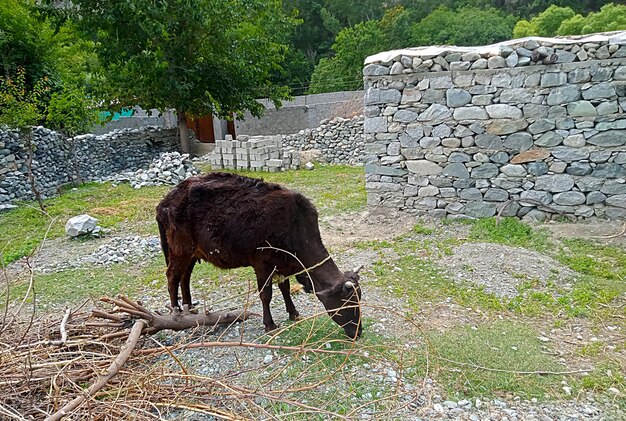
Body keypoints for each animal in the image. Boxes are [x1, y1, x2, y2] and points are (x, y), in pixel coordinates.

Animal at [154, 171, 364, 338]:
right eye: (348, 304)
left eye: (359, 300)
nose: (359, 332)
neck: (294, 225)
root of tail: (166, 200)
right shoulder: (262, 263)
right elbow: (266, 294)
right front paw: (269, 325)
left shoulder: (282, 263)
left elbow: (285, 288)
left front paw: (293, 313)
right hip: (179, 250)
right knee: (172, 276)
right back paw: (177, 312)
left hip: (192, 252)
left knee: (185, 277)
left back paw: (190, 307)